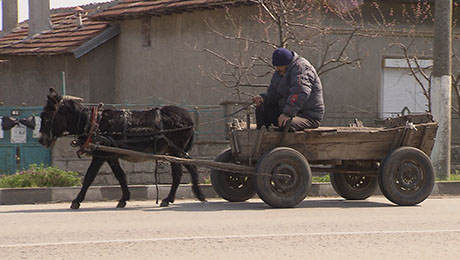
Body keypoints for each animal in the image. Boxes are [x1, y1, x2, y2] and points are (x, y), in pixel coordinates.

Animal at [38, 88, 206, 209]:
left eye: (45, 117)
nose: (41, 140)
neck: (94, 123)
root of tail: (188, 118)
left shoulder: (100, 155)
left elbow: (89, 177)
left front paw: (76, 201)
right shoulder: (110, 156)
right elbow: (120, 176)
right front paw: (124, 199)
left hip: (174, 150)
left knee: (179, 173)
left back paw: (171, 198)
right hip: (176, 150)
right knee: (190, 167)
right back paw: (195, 195)